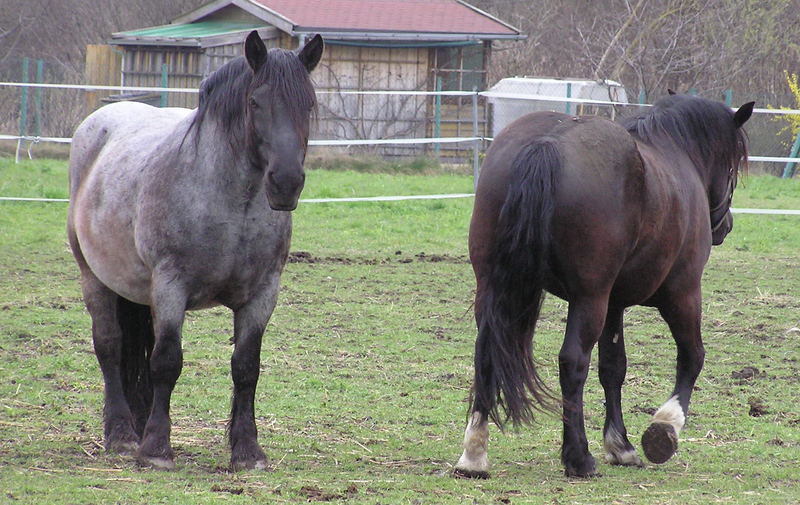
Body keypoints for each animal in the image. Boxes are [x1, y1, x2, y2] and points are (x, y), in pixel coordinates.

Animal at [69, 31, 324, 468]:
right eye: (255, 102)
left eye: (308, 103)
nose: (286, 183)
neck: (231, 205)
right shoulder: (171, 287)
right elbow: (167, 362)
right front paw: (156, 450)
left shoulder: (262, 295)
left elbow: (246, 367)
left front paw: (247, 451)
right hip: (95, 278)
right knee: (110, 348)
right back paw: (122, 434)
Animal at [454, 93, 752, 476]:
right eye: (731, 169)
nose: (725, 225)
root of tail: (546, 144)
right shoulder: (682, 294)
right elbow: (692, 356)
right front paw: (665, 426)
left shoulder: (614, 304)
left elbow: (613, 368)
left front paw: (620, 445)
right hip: (589, 298)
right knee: (573, 362)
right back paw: (578, 457)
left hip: (495, 289)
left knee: (487, 354)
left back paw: (474, 453)